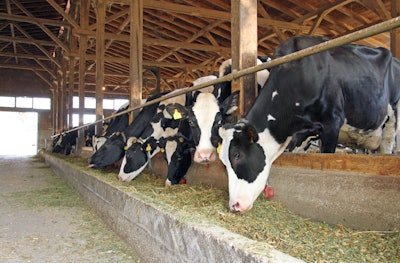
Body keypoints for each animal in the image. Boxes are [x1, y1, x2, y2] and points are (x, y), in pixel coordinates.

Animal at [219, 36, 400, 214]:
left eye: (237, 155)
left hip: (392, 120)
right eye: (223, 161)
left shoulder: (332, 123)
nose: (234, 205)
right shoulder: (300, 136)